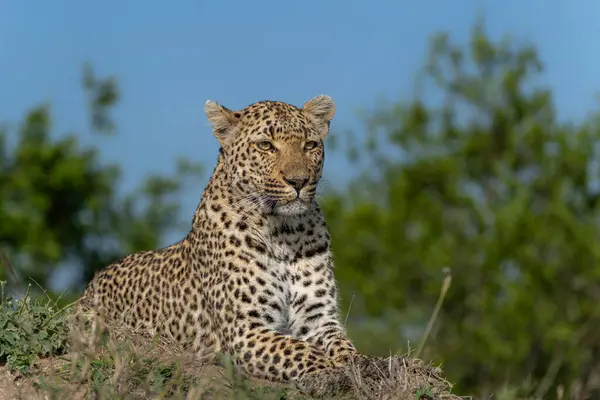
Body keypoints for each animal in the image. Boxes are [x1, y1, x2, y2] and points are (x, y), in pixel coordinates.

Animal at [78, 94, 370, 396]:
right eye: (266, 145)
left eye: (309, 145)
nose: (299, 181)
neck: (286, 232)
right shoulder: (245, 329)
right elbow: (298, 350)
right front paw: (330, 372)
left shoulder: (319, 319)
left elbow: (344, 348)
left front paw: (362, 368)